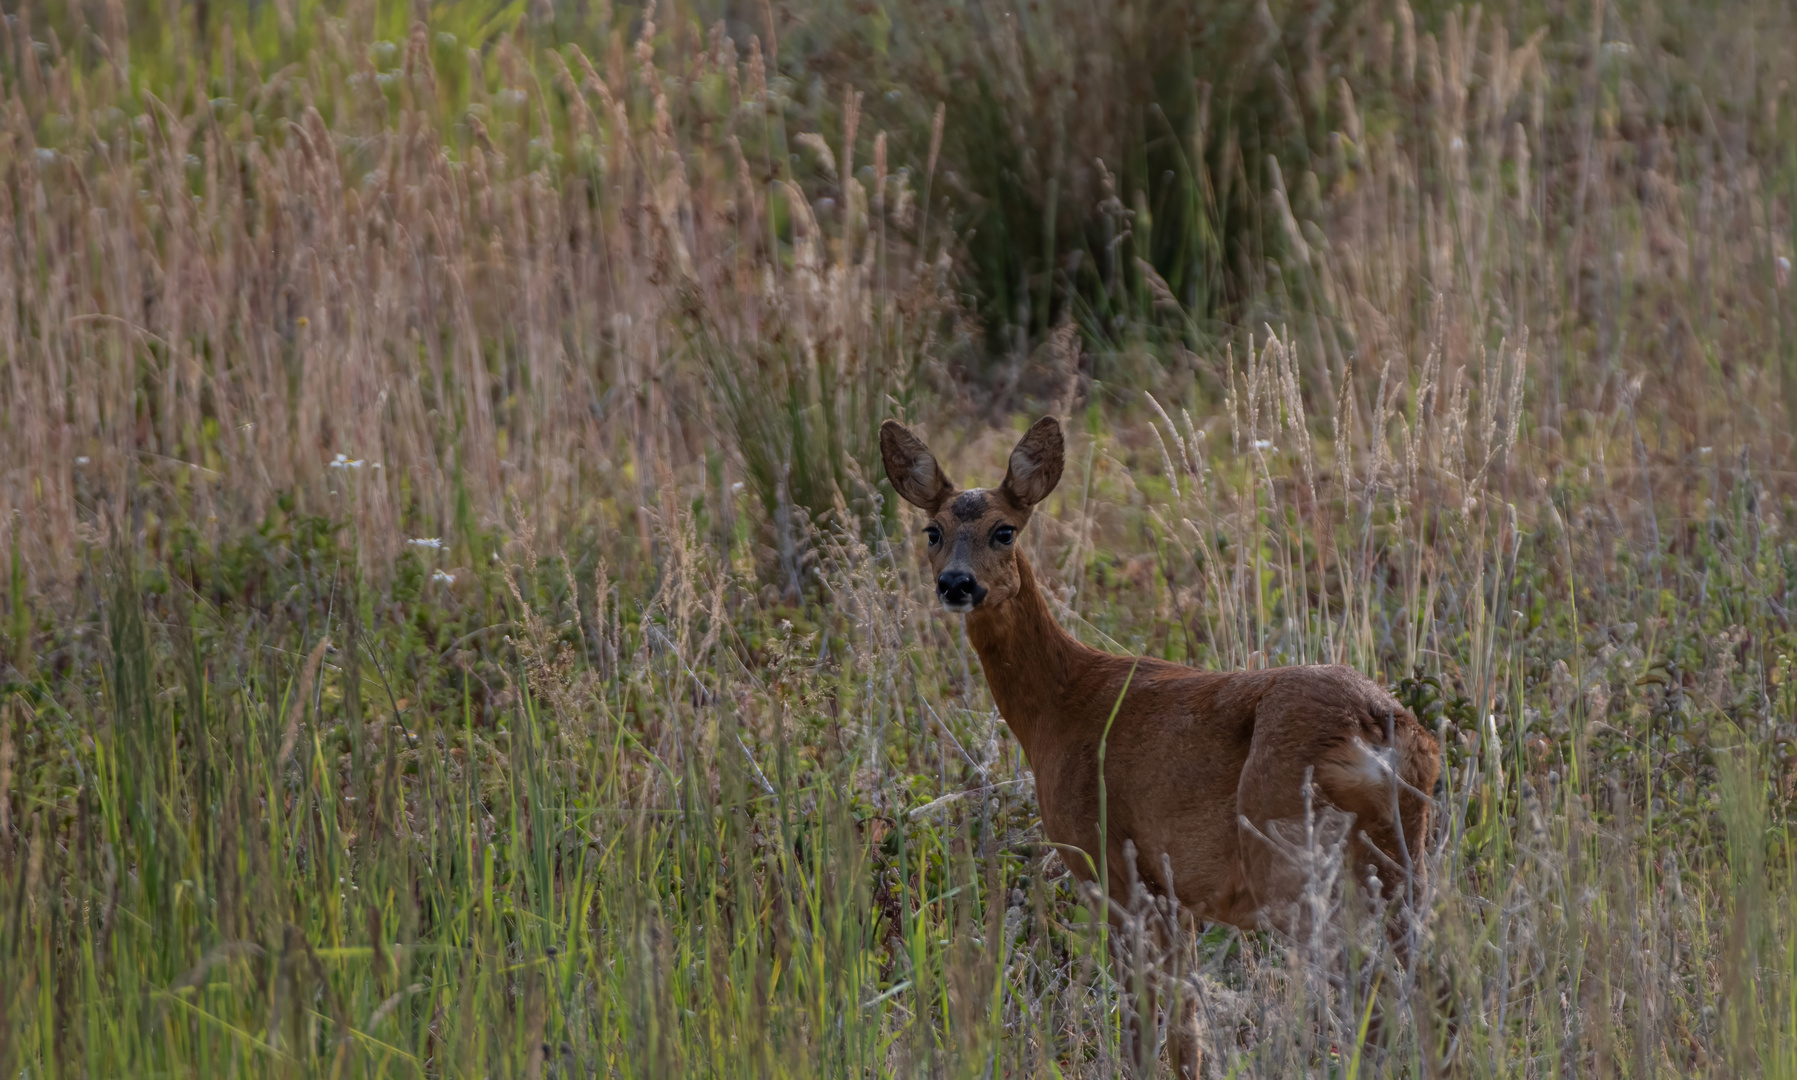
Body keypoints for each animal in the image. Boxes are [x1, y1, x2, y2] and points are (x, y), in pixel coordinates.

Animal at [876, 415, 1437, 1078]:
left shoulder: (1106, 858)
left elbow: (1143, 1020)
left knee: (1372, 989)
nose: (956, 584)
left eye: (1004, 530)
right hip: (1399, 856)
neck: (1058, 708)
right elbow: (1186, 1028)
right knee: (1433, 978)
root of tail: (1376, 722)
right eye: (933, 531)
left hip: (1289, 858)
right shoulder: (1174, 890)